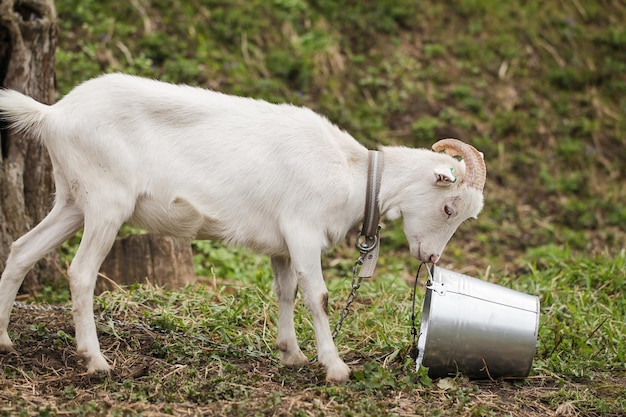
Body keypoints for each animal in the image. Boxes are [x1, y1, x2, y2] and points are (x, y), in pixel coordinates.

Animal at [0, 74, 486, 380]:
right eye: (449, 208)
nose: (430, 256)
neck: (351, 173)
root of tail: (53, 114)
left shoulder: (283, 245)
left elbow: (286, 292)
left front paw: (292, 354)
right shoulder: (303, 231)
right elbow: (319, 296)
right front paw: (335, 368)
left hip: (72, 200)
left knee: (22, 249)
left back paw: (4, 341)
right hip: (106, 201)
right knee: (81, 273)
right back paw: (95, 361)